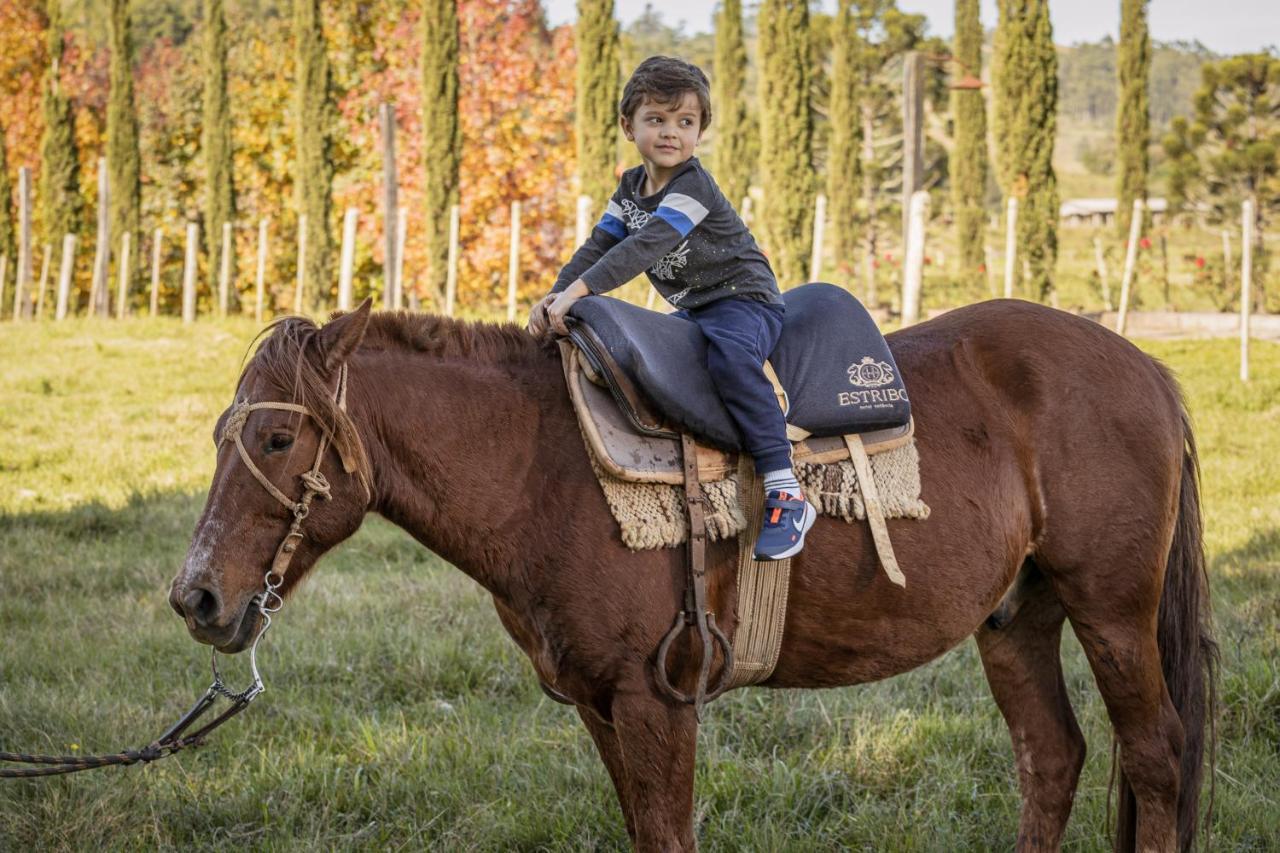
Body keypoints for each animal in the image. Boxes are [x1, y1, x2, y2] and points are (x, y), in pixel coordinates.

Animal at [167, 298, 1208, 850]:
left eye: (276, 437)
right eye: (219, 435)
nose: (197, 596)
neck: (548, 469)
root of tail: (1148, 370)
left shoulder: (655, 698)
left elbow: (669, 833)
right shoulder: (599, 704)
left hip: (1113, 612)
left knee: (1156, 752)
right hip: (1017, 619)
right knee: (1053, 755)